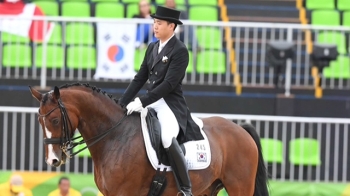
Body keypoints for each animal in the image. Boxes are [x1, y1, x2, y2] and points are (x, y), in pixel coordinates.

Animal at [28, 83, 270, 196]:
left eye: (55, 120)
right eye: (39, 121)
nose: (53, 160)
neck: (115, 136)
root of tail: (240, 129)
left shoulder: (124, 193)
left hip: (239, 187)